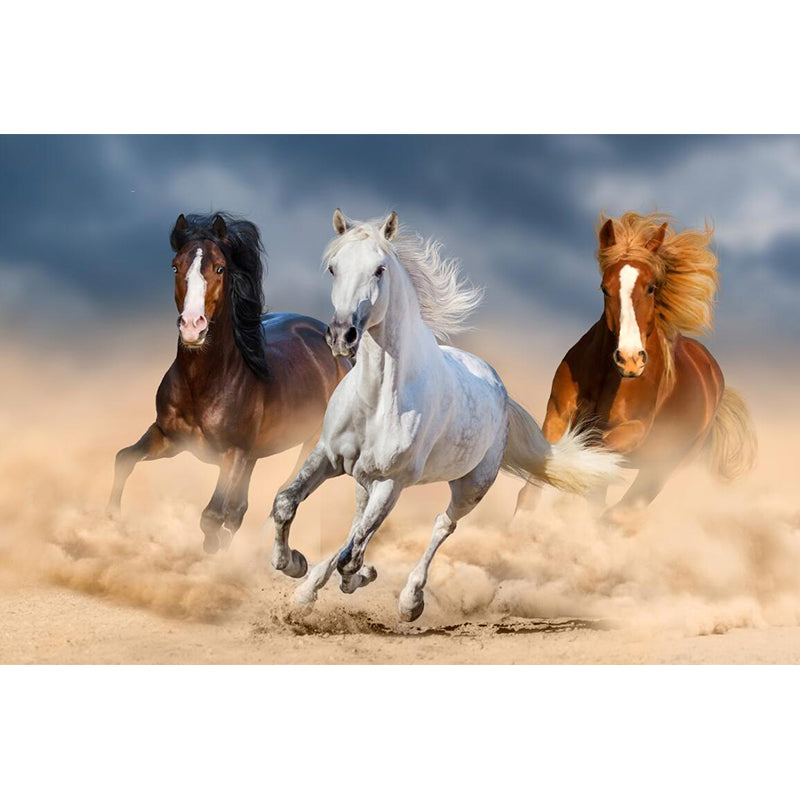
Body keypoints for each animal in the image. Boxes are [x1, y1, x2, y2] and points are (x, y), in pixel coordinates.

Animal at [107, 212, 350, 553]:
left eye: (220, 268)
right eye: (175, 266)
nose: (192, 326)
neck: (204, 383)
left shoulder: (232, 454)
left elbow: (211, 516)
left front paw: (212, 555)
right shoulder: (169, 438)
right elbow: (124, 459)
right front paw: (113, 519)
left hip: (311, 443)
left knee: (283, 493)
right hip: (254, 455)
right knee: (239, 509)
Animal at [269, 209, 623, 621]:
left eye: (379, 269)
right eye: (333, 267)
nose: (343, 336)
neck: (377, 400)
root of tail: (499, 389)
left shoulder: (392, 482)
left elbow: (353, 555)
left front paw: (356, 577)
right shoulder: (328, 455)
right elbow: (287, 504)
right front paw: (293, 564)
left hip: (470, 487)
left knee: (441, 525)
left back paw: (410, 601)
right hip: (364, 479)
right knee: (358, 523)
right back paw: (309, 590)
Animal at [516, 211, 757, 521]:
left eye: (651, 287)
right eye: (605, 289)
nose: (630, 359)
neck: (607, 377)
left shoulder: (633, 431)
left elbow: (590, 454)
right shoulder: (557, 414)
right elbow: (536, 482)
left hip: (663, 468)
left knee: (620, 509)